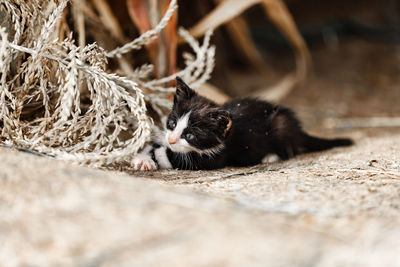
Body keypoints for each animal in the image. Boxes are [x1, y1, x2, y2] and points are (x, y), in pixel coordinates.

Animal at [130, 77, 352, 172]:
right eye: (172, 122)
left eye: (190, 135)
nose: (173, 139)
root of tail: (298, 128)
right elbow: (155, 145)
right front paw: (142, 158)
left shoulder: (215, 157)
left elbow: (172, 157)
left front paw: (152, 158)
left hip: (280, 124)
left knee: (291, 147)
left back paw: (271, 157)